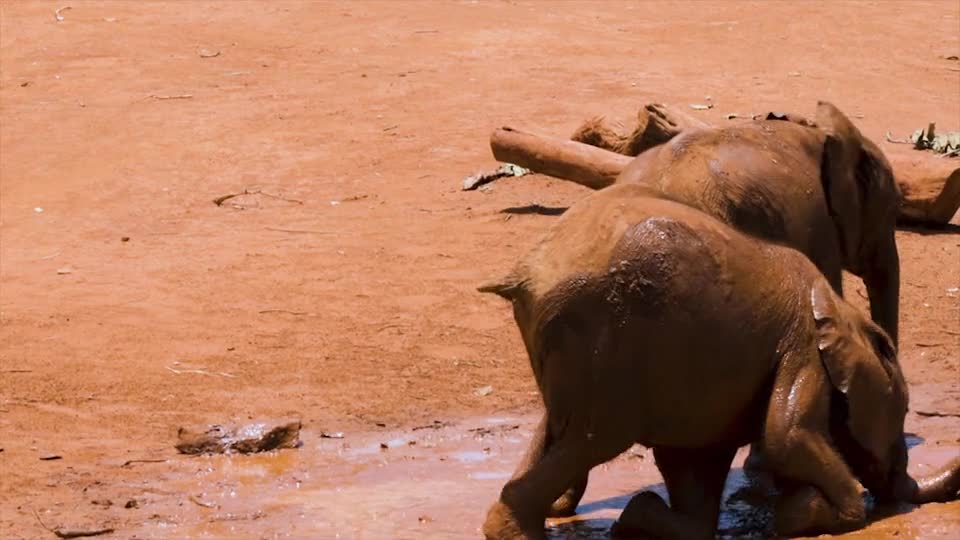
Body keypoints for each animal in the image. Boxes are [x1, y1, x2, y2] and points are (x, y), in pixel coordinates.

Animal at [479, 184, 959, 540]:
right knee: (593, 438)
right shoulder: (802, 347)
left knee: (555, 430)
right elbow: (788, 435)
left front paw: (638, 516)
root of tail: (527, 277)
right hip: (600, 345)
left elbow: (695, 469)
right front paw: (807, 513)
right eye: (900, 416)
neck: (842, 312)